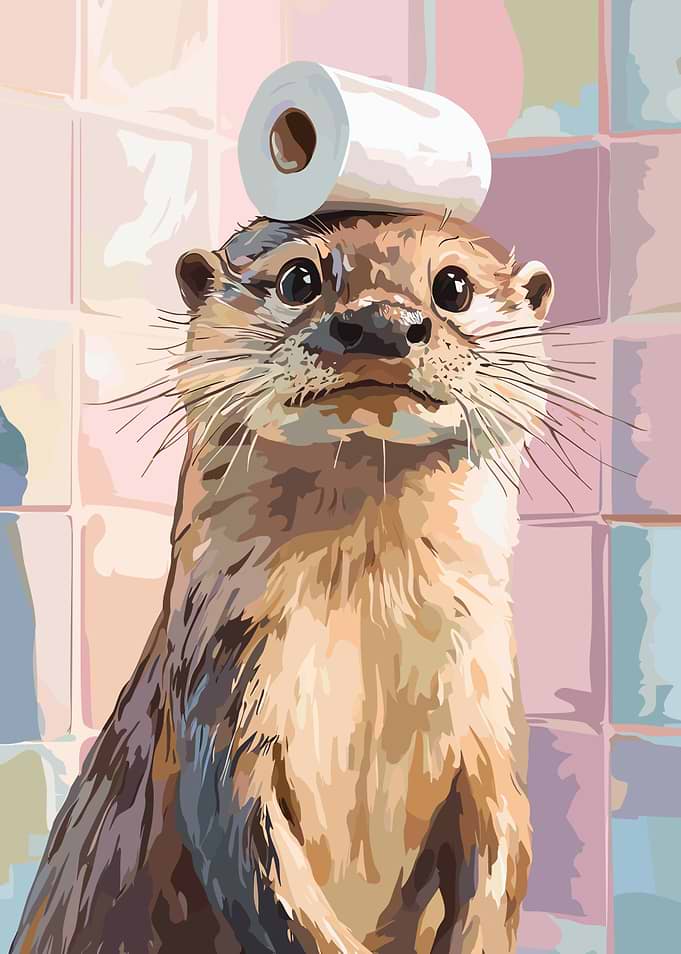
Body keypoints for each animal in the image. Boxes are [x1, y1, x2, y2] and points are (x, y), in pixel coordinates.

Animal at [12, 211, 556, 954]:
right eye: (299, 279)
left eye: (453, 285)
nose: (383, 323)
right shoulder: (222, 701)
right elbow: (252, 863)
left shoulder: (492, 721)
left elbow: (506, 853)